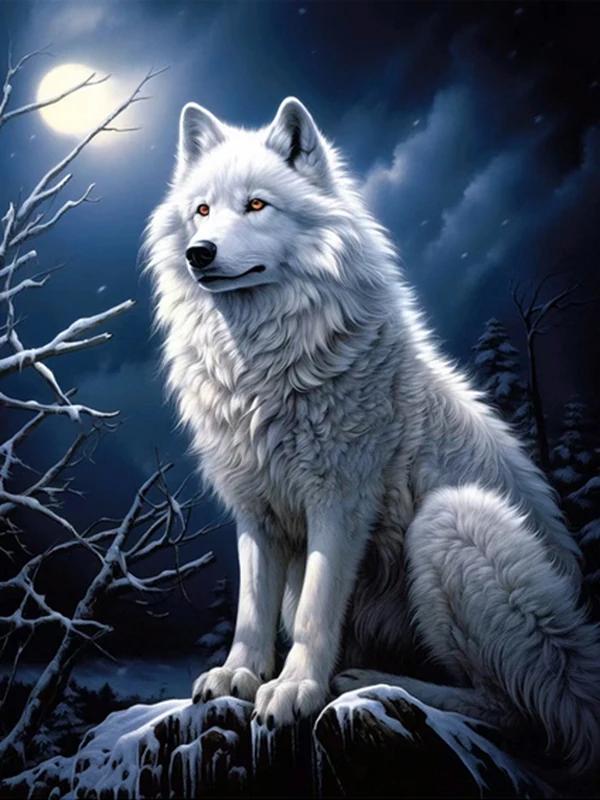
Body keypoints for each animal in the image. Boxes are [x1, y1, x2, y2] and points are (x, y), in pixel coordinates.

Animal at [145, 96, 600, 772]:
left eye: (256, 205)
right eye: (201, 209)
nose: (199, 252)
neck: (264, 359)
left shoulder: (341, 500)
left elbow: (314, 611)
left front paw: (295, 690)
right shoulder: (256, 511)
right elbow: (251, 609)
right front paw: (238, 677)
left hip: (451, 521)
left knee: (521, 713)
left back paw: (369, 681)